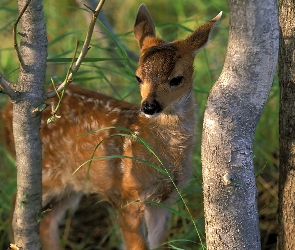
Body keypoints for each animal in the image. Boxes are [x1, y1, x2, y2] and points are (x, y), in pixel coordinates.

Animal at [2, 4, 221, 250]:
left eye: (176, 79)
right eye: (138, 77)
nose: (149, 106)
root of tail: (6, 112)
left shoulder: (167, 198)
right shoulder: (127, 196)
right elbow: (138, 245)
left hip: (72, 183)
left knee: (47, 219)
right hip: (45, 173)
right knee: (17, 209)